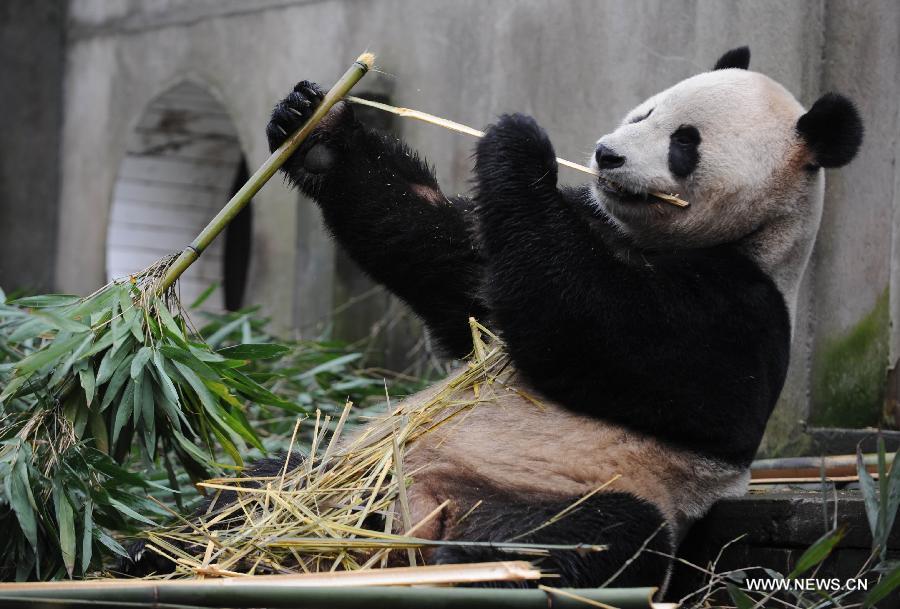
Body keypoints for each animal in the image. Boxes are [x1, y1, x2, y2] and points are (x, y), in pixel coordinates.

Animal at [123, 47, 860, 588]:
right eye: (643, 111)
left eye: (684, 142)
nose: (606, 154)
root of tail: (404, 522)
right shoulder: (559, 234)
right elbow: (448, 253)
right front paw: (317, 122)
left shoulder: (742, 308)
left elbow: (594, 329)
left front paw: (520, 143)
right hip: (335, 472)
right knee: (255, 484)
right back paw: (163, 547)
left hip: (560, 488)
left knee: (581, 539)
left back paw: (473, 570)